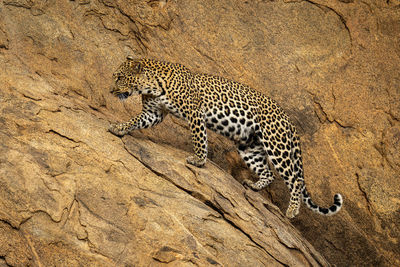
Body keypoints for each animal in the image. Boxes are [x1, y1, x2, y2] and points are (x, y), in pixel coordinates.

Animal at [108, 56, 342, 218]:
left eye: (119, 77)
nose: (110, 91)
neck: (152, 85)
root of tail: (290, 122)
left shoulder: (195, 113)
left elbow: (199, 139)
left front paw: (198, 160)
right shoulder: (153, 113)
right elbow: (135, 120)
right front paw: (119, 128)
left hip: (276, 145)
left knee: (294, 179)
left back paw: (292, 209)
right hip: (249, 146)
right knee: (269, 173)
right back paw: (254, 186)